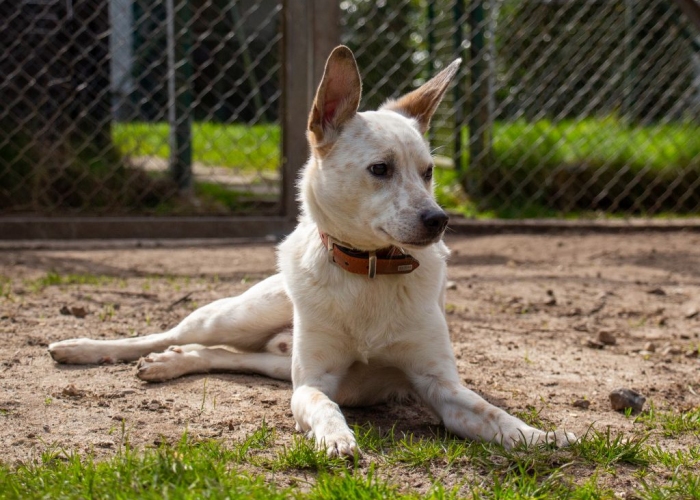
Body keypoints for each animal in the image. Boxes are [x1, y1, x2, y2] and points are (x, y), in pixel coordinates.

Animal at [47, 46, 576, 458]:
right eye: (380, 169)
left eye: (428, 171)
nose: (438, 219)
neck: (369, 270)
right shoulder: (313, 383)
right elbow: (325, 405)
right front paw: (336, 438)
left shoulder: (441, 386)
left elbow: (493, 412)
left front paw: (542, 437)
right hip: (237, 318)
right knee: (169, 334)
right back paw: (84, 348)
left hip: (277, 361)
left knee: (223, 355)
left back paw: (173, 362)